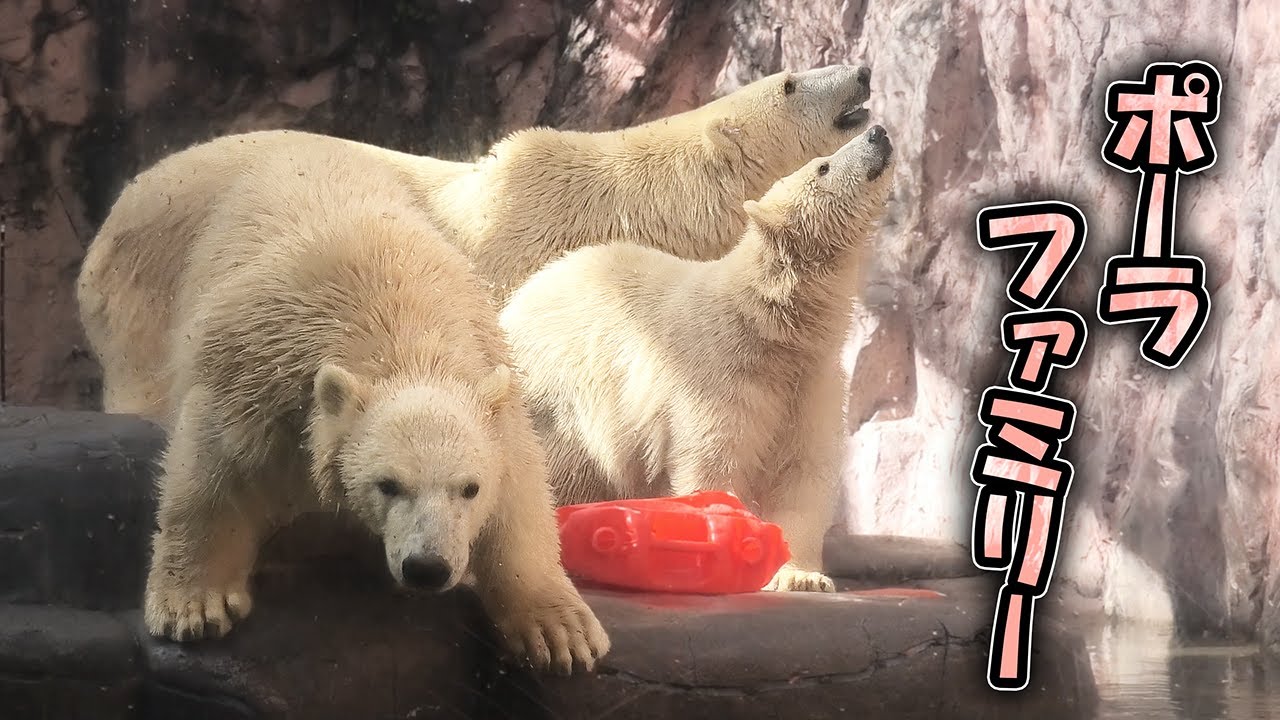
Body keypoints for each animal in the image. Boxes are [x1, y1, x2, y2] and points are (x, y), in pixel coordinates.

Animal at [141, 142, 610, 676]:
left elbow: (519, 497)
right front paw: (194, 607)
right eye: (387, 484)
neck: (394, 323)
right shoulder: (259, 376)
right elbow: (215, 468)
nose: (427, 568)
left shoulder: (490, 378)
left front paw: (562, 632)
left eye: (469, 488)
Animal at [497, 125, 896, 593]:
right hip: (560, 401)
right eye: (823, 166)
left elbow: (803, 475)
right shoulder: (718, 374)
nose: (878, 132)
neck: (772, 327)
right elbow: (713, 463)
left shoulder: (812, 384)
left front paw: (802, 576)